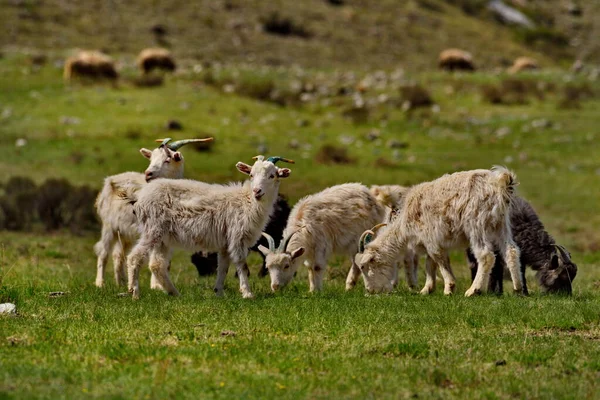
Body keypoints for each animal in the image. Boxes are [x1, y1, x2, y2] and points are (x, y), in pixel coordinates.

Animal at [94, 138, 213, 288]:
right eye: (151, 159)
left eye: (168, 159)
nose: (148, 173)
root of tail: (110, 180)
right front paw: (156, 286)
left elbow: (165, 262)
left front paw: (157, 286)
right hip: (109, 226)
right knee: (103, 252)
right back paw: (100, 283)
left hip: (125, 232)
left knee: (118, 254)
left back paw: (121, 282)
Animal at [125, 155, 292, 298]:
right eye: (251, 174)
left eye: (272, 175)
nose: (257, 191)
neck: (247, 201)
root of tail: (140, 199)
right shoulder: (237, 236)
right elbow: (241, 265)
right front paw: (247, 293)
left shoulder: (226, 242)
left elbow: (223, 267)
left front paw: (219, 293)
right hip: (152, 229)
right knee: (134, 258)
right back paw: (135, 292)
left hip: (163, 238)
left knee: (157, 265)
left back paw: (175, 293)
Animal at [260, 183, 392, 292]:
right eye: (268, 267)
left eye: (286, 265)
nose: (275, 287)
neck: (303, 224)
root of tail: (372, 197)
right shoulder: (308, 250)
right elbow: (309, 268)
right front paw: (311, 289)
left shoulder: (321, 245)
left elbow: (317, 267)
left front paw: (317, 291)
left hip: (361, 238)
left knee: (356, 262)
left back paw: (348, 287)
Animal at [354, 166, 524, 296]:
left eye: (364, 267)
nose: (370, 291)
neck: (404, 223)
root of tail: (499, 184)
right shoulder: (430, 241)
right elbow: (430, 264)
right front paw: (426, 289)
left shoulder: (431, 239)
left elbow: (438, 260)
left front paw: (449, 288)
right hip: (500, 224)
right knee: (511, 250)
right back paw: (518, 289)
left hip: (476, 224)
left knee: (486, 256)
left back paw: (473, 290)